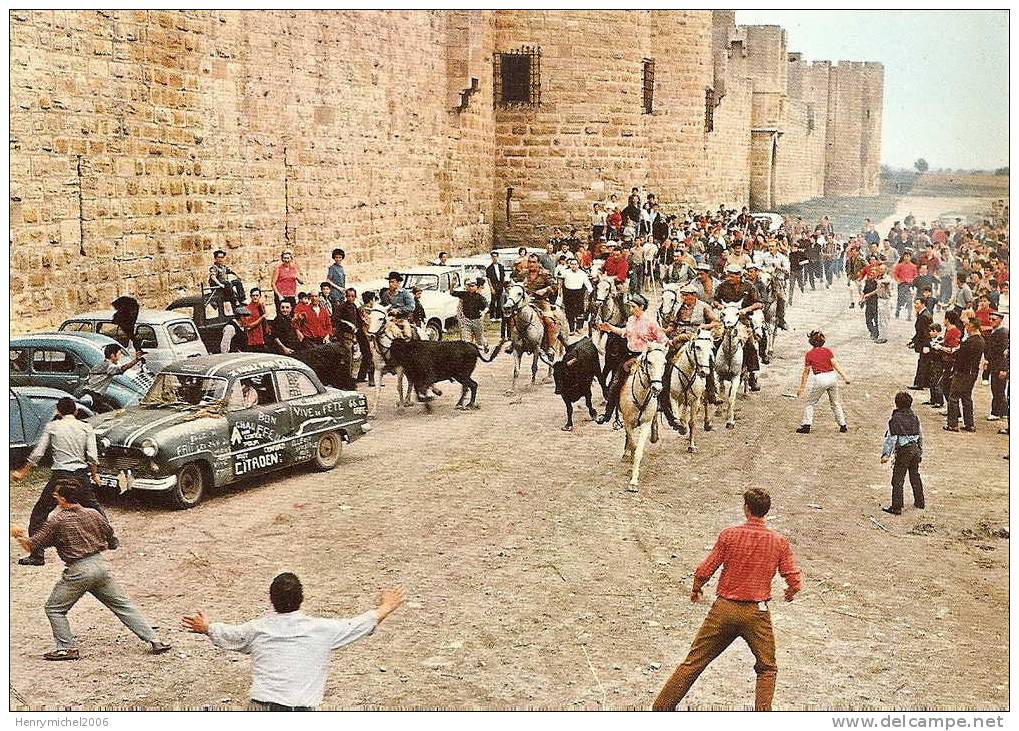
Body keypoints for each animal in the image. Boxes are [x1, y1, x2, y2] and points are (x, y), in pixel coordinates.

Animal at [615, 342, 672, 491]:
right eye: (649, 362)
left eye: (664, 363)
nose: (657, 388)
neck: (640, 395)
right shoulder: (628, 423)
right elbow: (633, 445)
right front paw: (630, 465)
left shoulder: (645, 423)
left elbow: (639, 450)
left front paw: (634, 481)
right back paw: (626, 454)